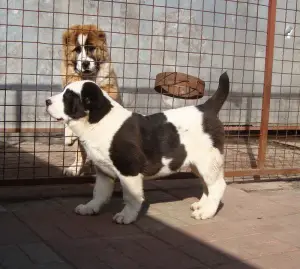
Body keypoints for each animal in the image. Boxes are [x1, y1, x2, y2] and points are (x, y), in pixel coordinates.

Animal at [45, 72, 230, 223]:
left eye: (68, 97)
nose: (46, 101)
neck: (98, 121)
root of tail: (207, 108)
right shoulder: (103, 170)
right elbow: (99, 192)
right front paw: (90, 207)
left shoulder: (129, 170)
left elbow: (131, 197)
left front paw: (126, 216)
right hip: (198, 164)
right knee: (207, 185)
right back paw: (201, 205)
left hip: (207, 160)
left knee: (217, 186)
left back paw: (206, 212)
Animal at [61, 24, 121, 176]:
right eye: (77, 50)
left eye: (91, 48)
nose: (85, 63)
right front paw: (69, 135)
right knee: (81, 154)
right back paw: (75, 168)